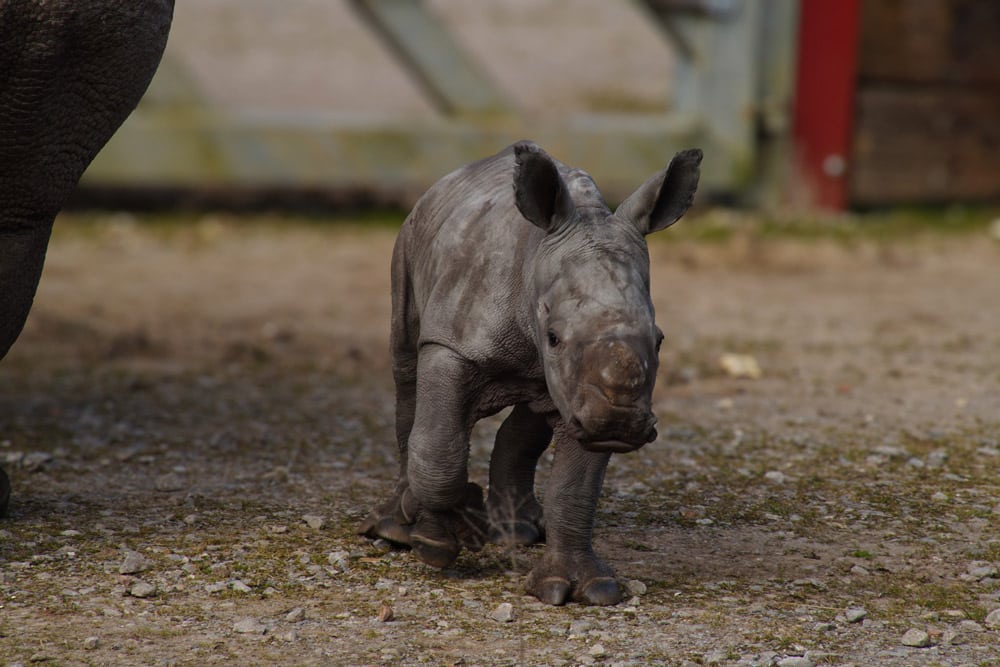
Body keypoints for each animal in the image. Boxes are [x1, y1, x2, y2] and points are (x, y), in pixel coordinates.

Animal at [361, 141, 701, 605]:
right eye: (553, 337)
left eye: (660, 340)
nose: (619, 423)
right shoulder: (450, 345)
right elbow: (437, 447)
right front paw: (438, 540)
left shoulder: (579, 395)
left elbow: (575, 488)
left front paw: (582, 589)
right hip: (409, 242)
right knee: (407, 378)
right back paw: (396, 528)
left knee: (536, 411)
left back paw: (516, 531)